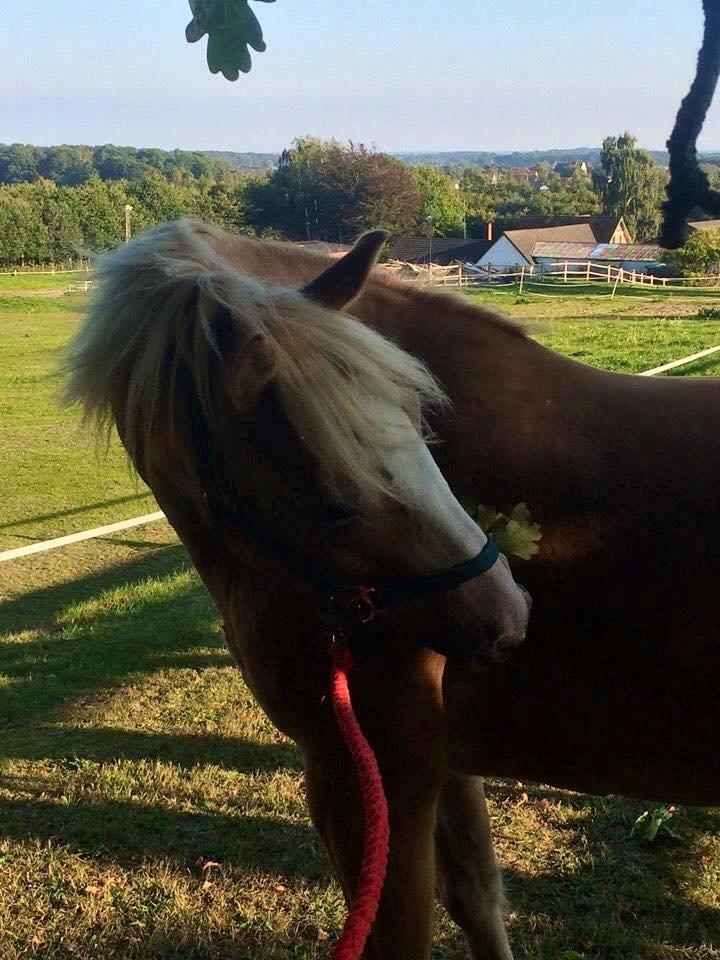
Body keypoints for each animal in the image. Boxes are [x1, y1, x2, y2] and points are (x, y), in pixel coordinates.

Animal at [63, 218, 720, 960]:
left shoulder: (380, 774)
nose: (507, 615)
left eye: (420, 423)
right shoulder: (445, 764)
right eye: (332, 506)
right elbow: (477, 897)